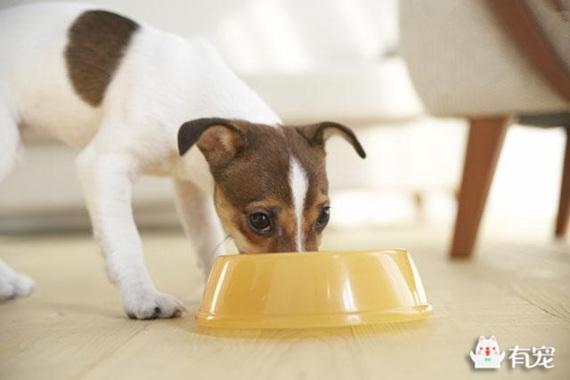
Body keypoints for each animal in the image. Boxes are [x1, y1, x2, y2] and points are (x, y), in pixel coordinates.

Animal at [0, 2, 364, 320]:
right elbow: (125, 240)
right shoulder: (103, 166)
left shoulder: (190, 185)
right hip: (6, 146)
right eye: (259, 220)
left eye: (324, 215)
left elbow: (205, 240)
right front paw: (143, 297)